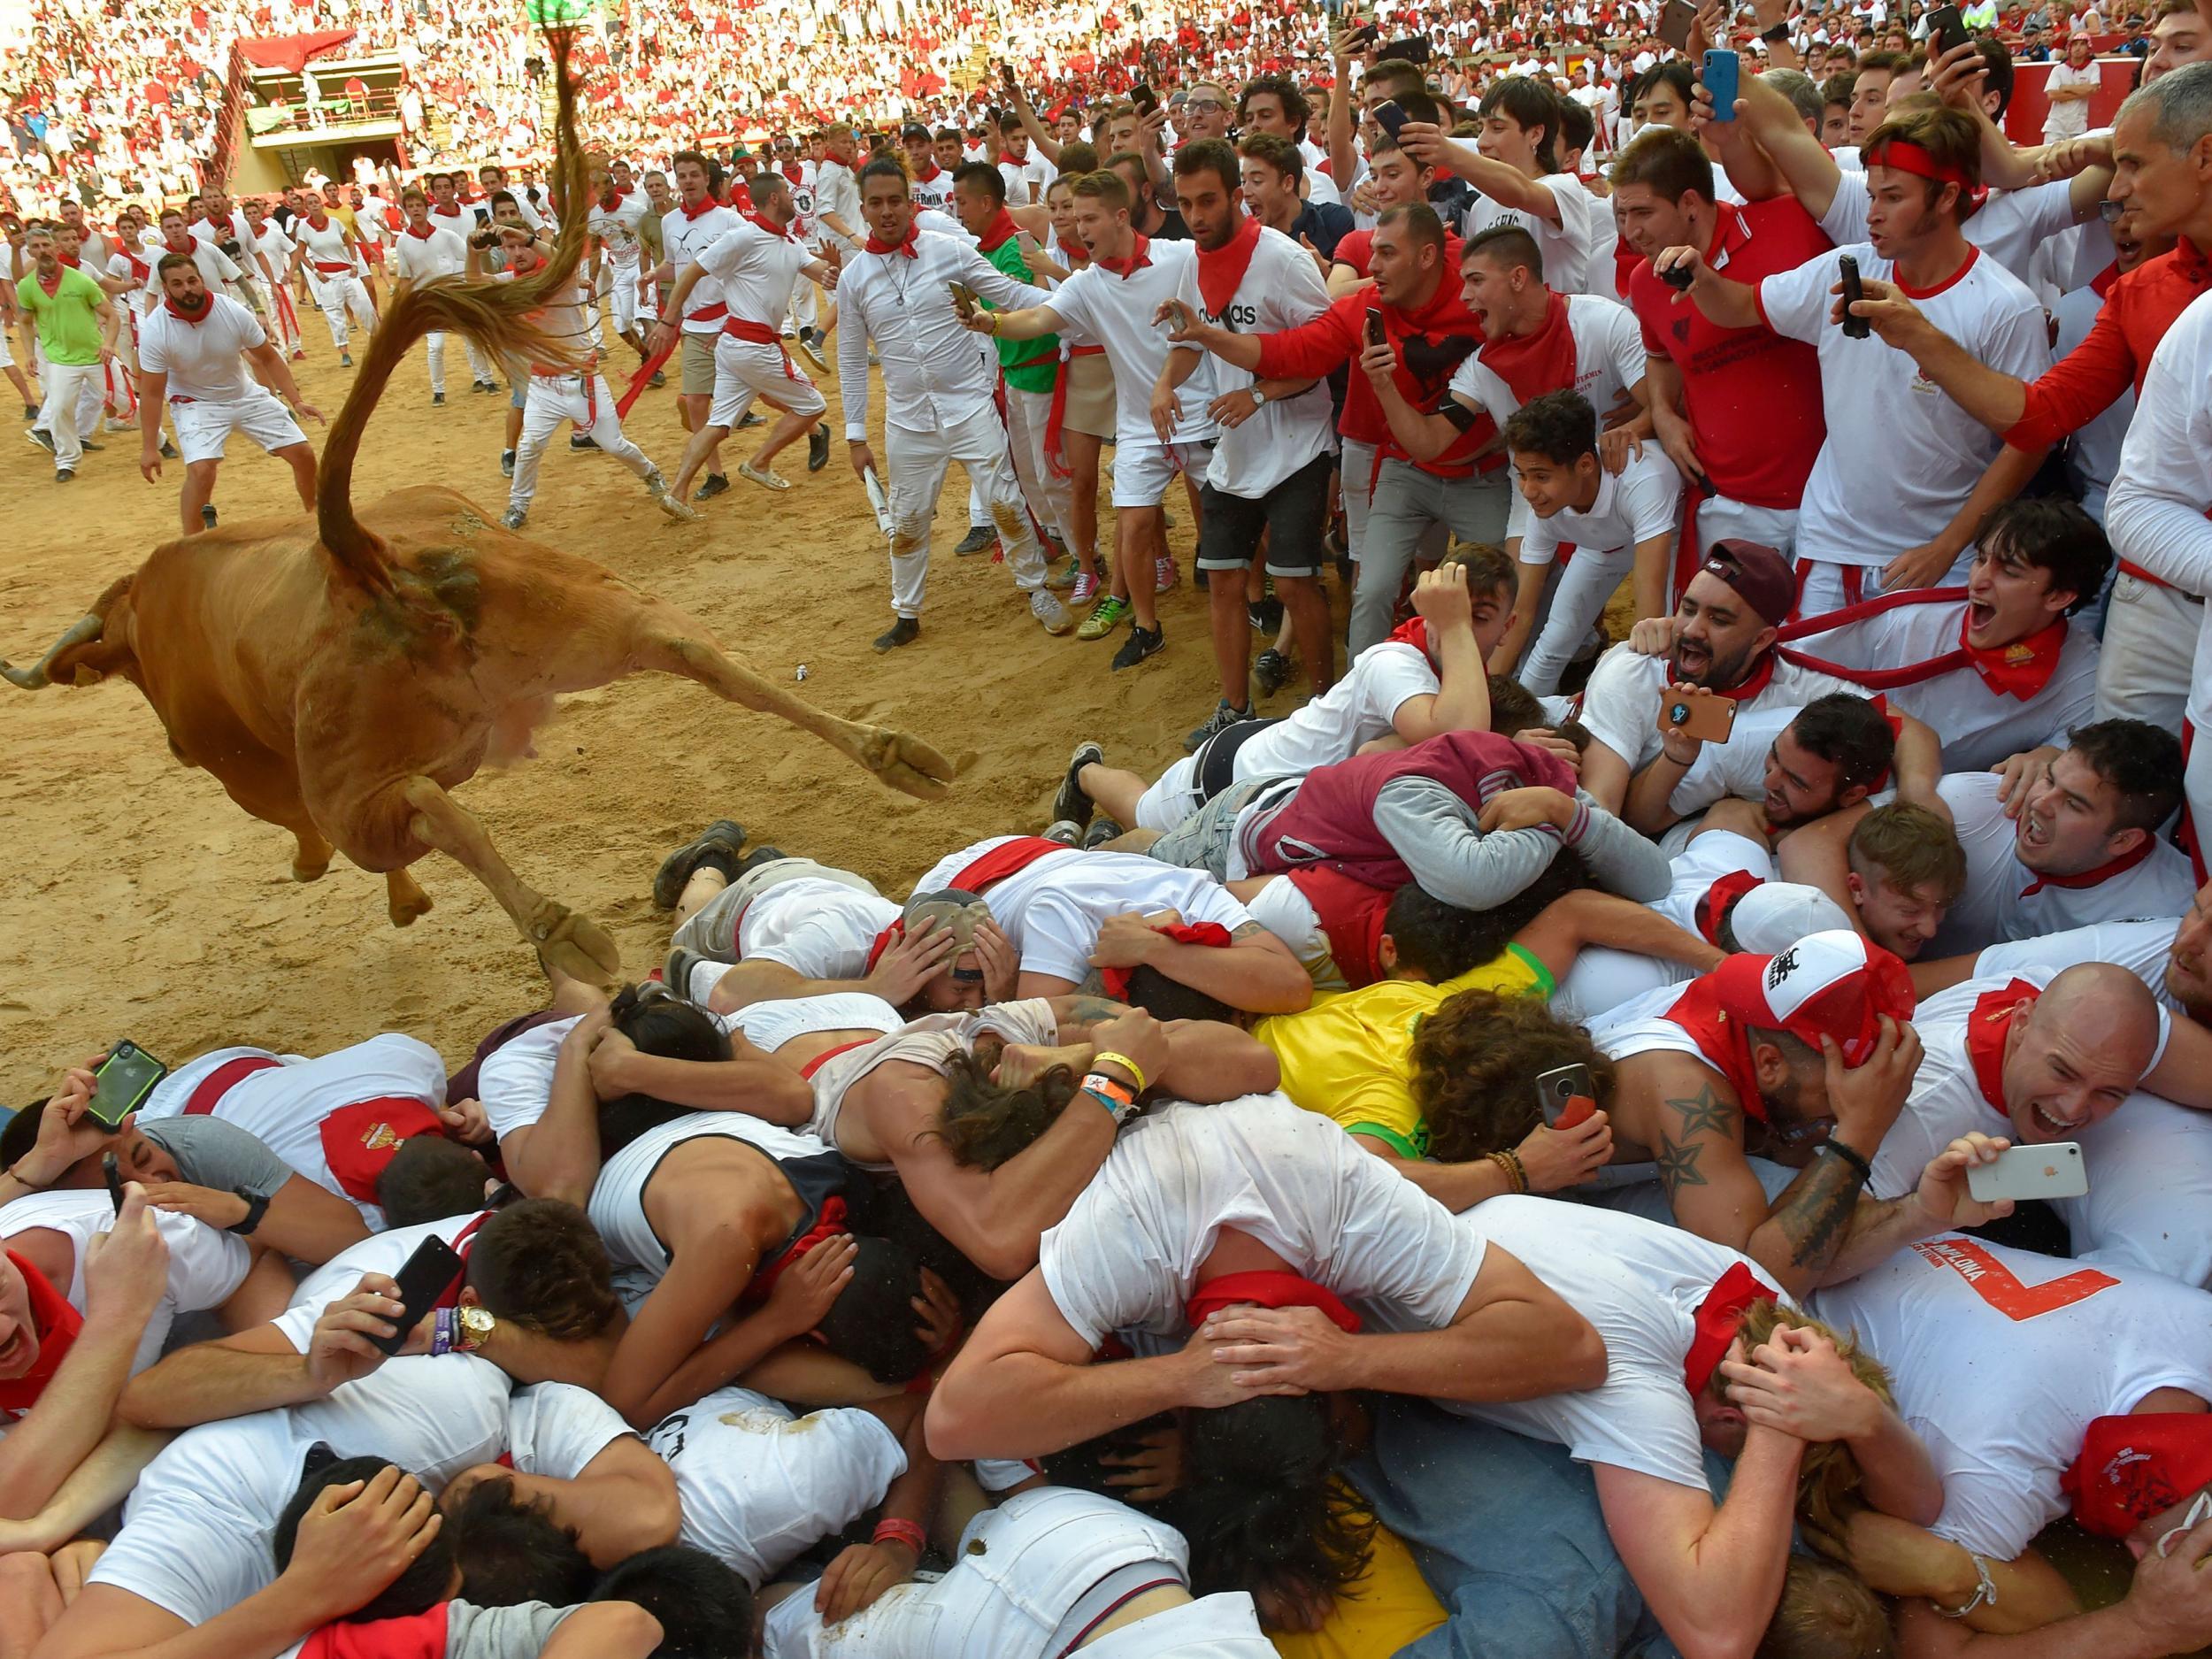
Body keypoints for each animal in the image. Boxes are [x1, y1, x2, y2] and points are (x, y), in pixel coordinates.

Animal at [0, 39, 951, 982]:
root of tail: (357, 556)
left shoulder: (246, 771)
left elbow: (306, 833)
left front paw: (374, 892)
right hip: (588, 615)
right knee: (701, 655)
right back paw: (898, 755)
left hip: (360, 785)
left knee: (418, 810)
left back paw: (560, 928)